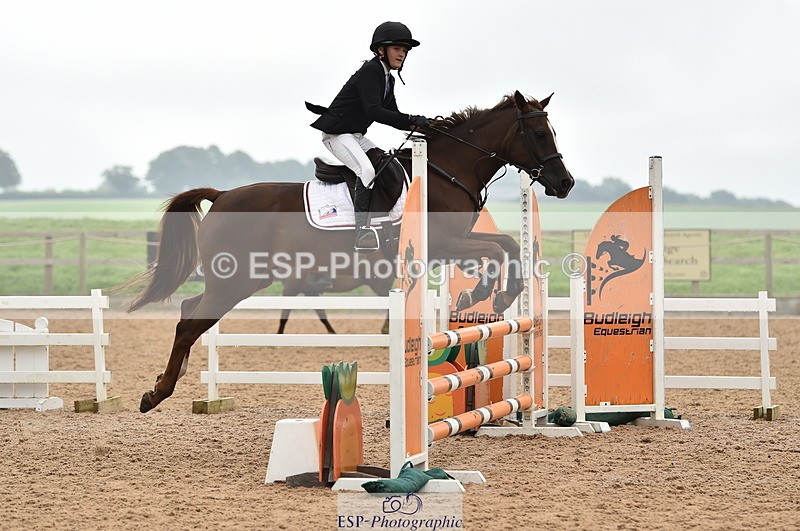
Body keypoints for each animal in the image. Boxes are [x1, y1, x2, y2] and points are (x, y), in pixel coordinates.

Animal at [128, 90, 574, 413]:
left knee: (189, 311)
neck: (446, 172)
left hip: (235, 281)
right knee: (189, 323)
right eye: (539, 134)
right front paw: (485, 294)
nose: (565, 183)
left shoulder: (453, 247)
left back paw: (164, 383)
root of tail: (221, 195)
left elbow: (505, 246)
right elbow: (498, 250)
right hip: (236, 281)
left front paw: (492, 293)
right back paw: (156, 394)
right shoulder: (444, 245)